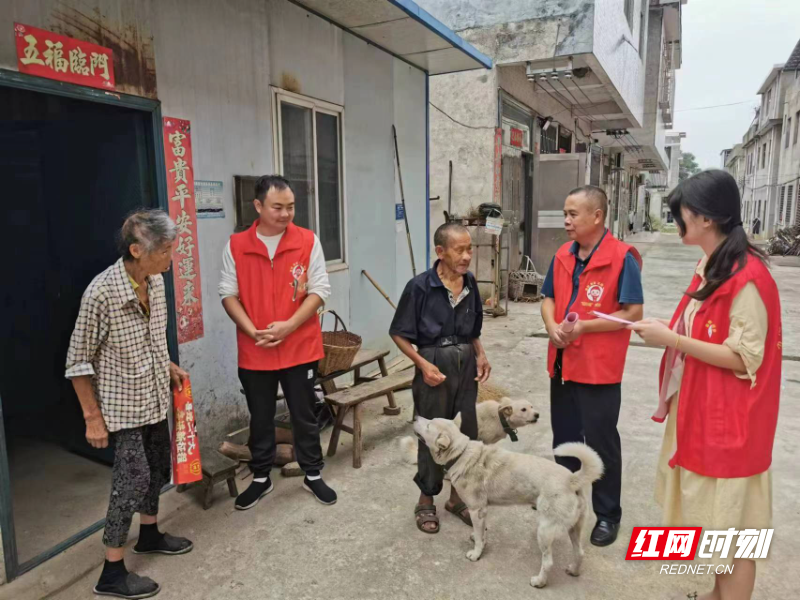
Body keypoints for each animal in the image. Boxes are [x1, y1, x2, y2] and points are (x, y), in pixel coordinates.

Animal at [416, 414, 604, 588]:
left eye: (428, 425)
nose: (416, 416)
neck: (461, 454)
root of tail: (572, 480)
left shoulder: (476, 510)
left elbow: (479, 536)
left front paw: (476, 553)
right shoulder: (483, 511)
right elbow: (482, 532)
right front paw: (480, 540)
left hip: (544, 531)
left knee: (548, 562)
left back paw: (539, 582)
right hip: (574, 528)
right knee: (579, 552)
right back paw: (574, 570)